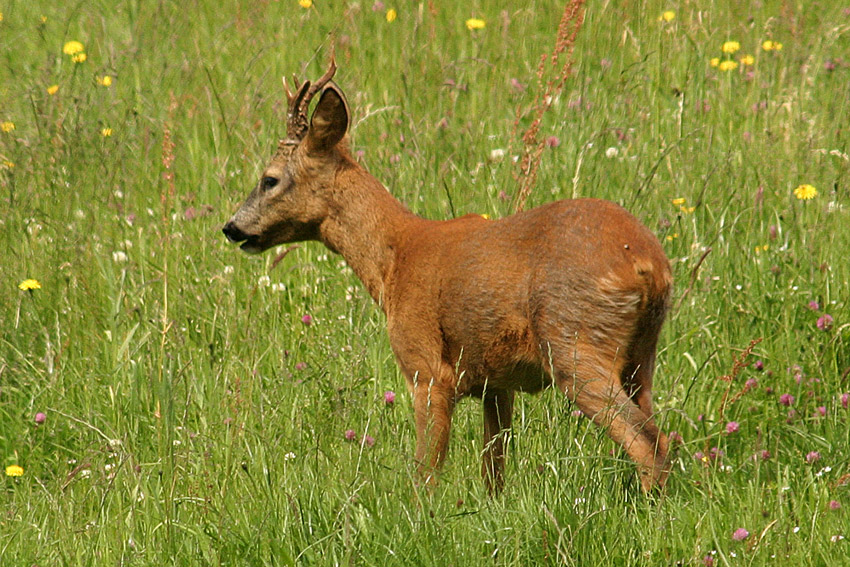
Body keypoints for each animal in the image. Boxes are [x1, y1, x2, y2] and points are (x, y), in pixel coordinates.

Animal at [222, 62, 672, 494]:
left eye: (269, 178)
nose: (231, 227)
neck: (395, 260)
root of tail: (648, 263)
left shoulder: (426, 367)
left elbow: (426, 471)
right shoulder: (495, 382)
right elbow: (493, 470)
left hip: (574, 339)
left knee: (648, 440)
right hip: (641, 354)